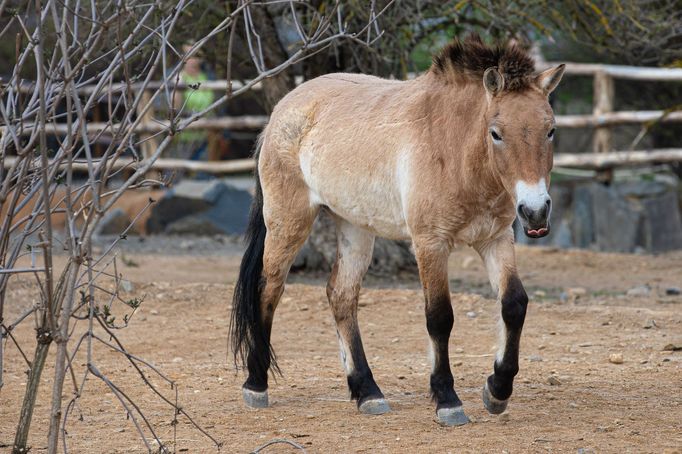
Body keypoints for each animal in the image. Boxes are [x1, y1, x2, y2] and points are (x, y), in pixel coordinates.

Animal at [228, 34, 564, 426]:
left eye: (550, 130)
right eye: (496, 133)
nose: (535, 211)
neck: (455, 149)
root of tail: (282, 111)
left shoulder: (495, 239)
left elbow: (514, 304)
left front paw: (497, 391)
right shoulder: (430, 243)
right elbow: (439, 317)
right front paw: (447, 400)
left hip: (354, 227)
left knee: (341, 296)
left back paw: (367, 392)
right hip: (288, 221)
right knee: (269, 288)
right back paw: (256, 385)